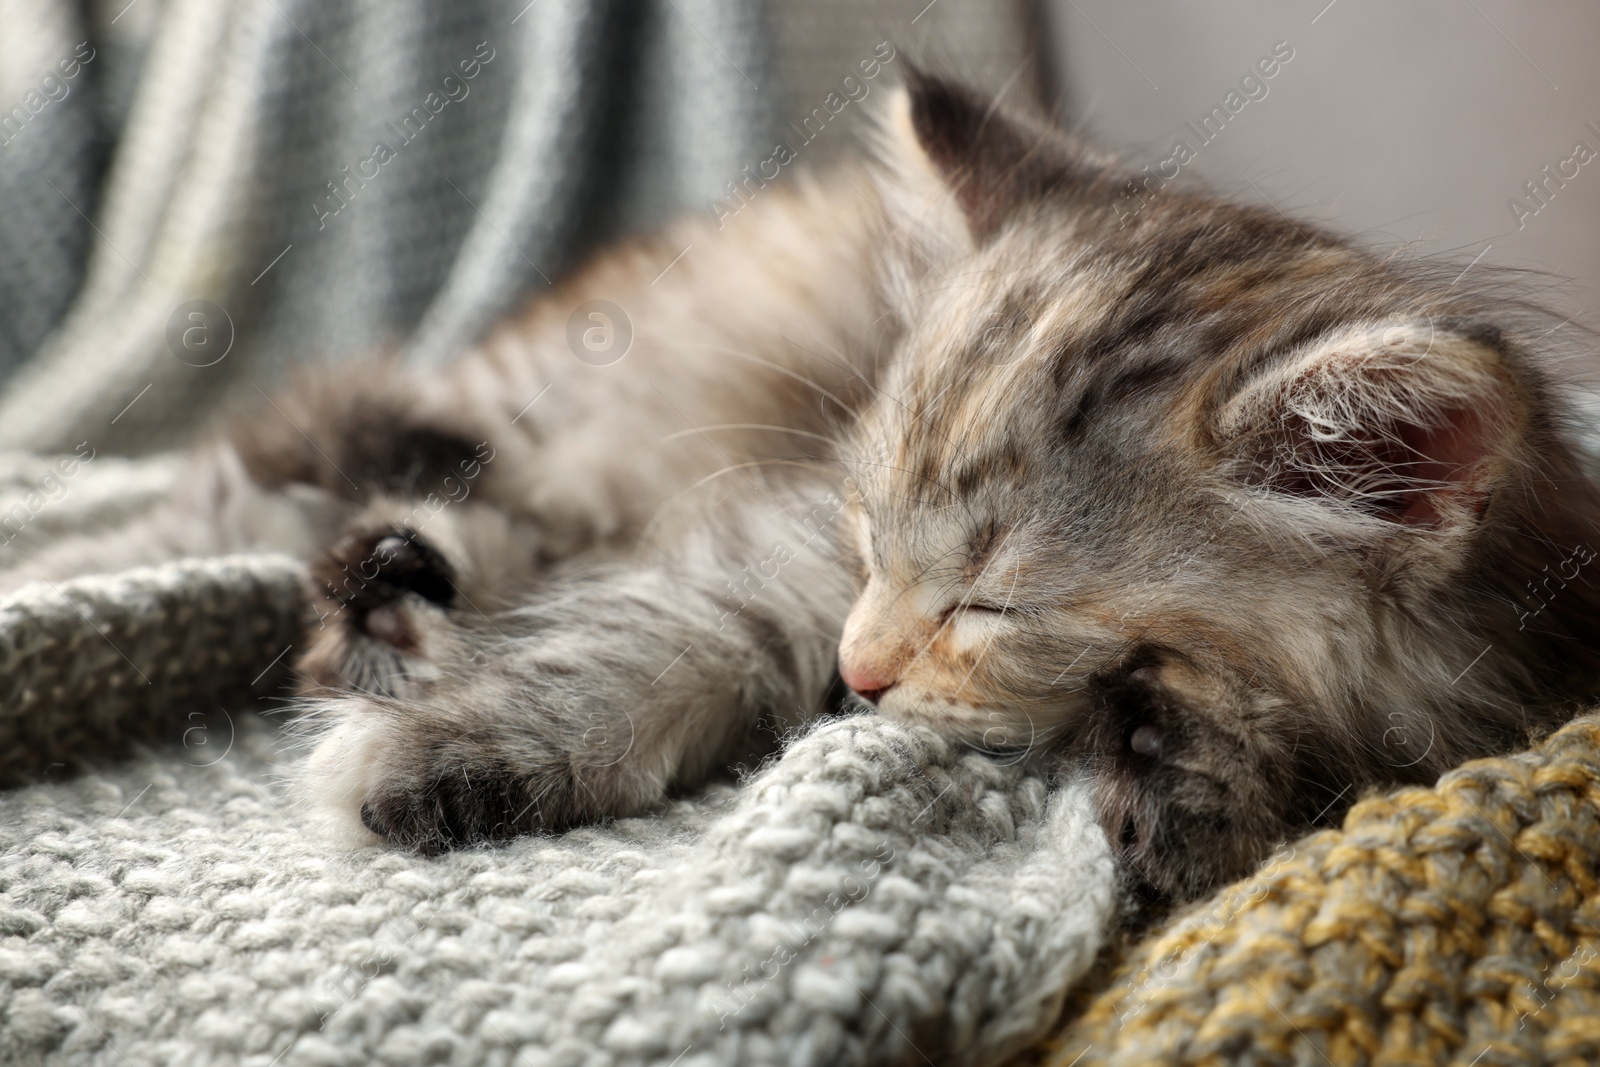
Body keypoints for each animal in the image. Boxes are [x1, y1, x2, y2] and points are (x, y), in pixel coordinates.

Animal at [15, 73, 1600, 902]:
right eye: (865, 535)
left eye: (994, 604)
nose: (862, 669)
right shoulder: (772, 553)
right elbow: (651, 645)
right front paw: (440, 758)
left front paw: (1192, 768)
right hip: (511, 420)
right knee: (234, 487)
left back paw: (387, 606)